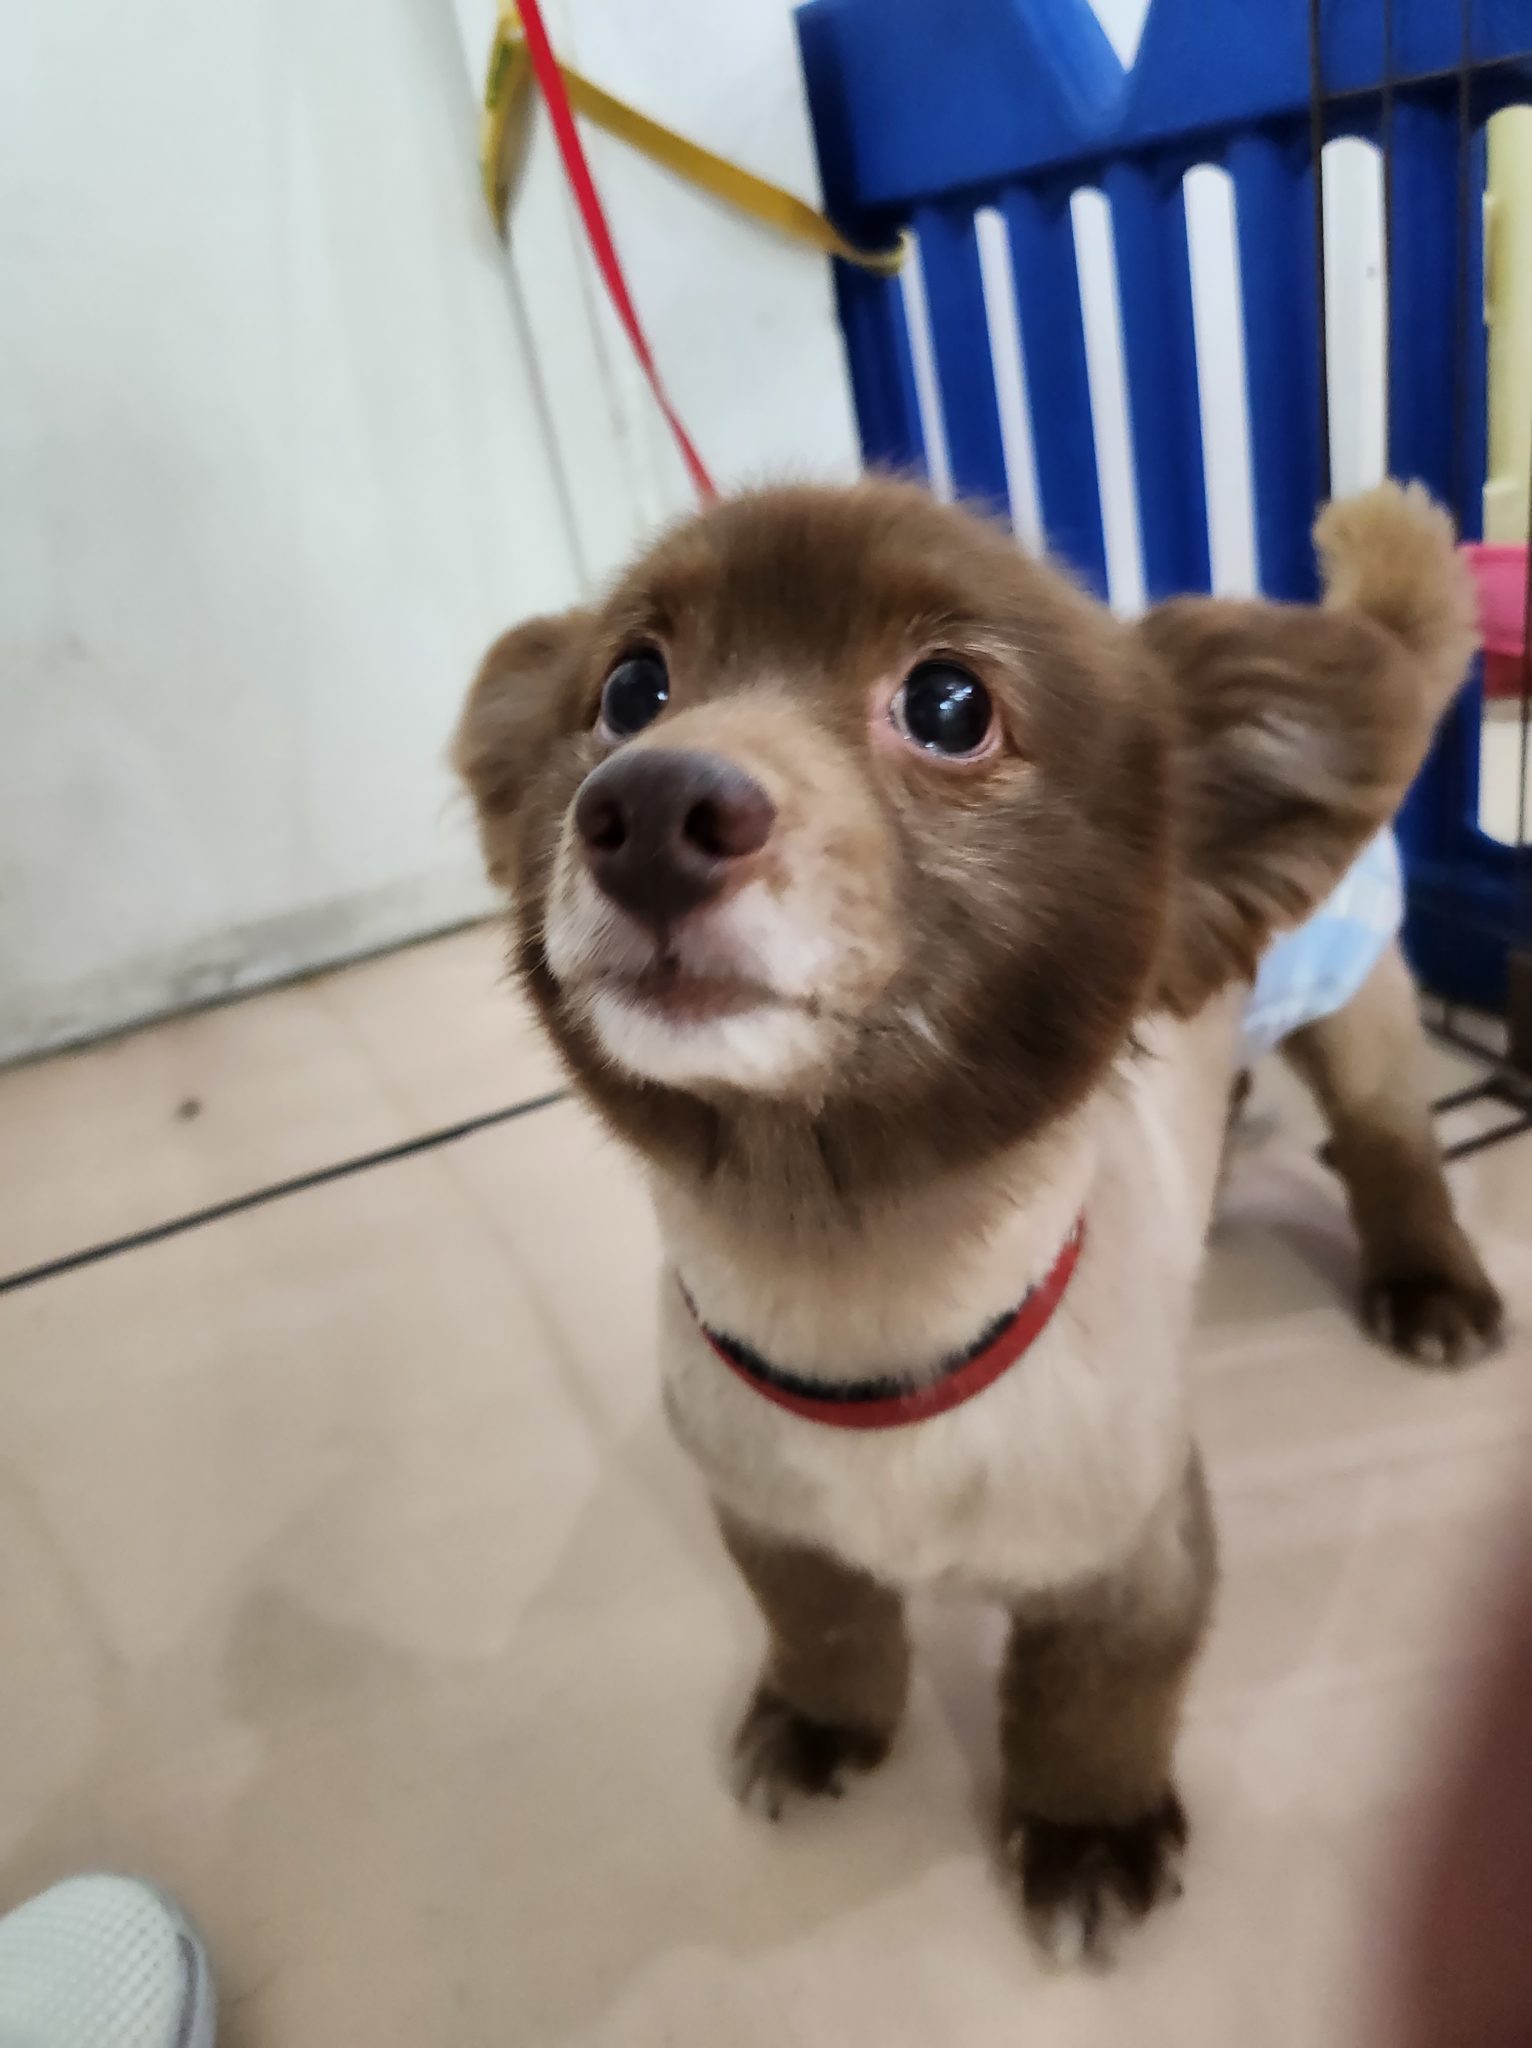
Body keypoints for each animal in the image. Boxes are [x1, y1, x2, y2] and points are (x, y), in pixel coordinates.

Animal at [455, 477, 1502, 1963]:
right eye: (630, 687)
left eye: (948, 705)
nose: (648, 803)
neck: (864, 1312)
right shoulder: (762, 1503)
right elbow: (828, 1624)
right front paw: (822, 1725)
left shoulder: (1133, 1543)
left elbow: (1095, 1698)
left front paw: (1088, 1835)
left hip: (1357, 997)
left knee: (1386, 1141)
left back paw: (1428, 1285)